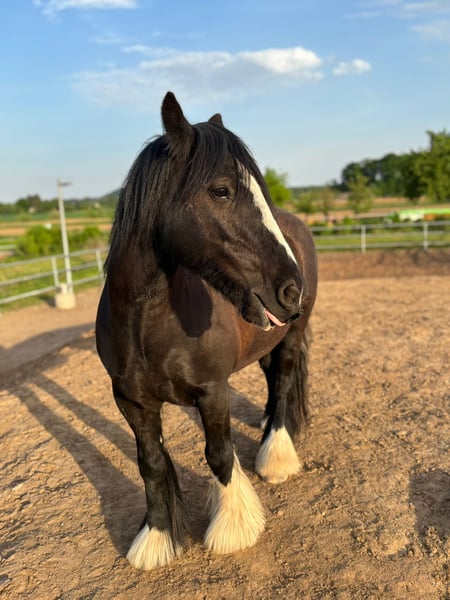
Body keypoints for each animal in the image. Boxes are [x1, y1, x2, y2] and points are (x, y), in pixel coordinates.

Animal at [96, 92, 317, 570]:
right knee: (272, 379)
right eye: (221, 190)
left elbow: (218, 453)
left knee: (284, 379)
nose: (292, 290)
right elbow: (150, 463)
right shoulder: (131, 401)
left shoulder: (213, 391)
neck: (149, 323)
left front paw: (233, 528)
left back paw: (276, 453)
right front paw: (157, 538)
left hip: (291, 336)